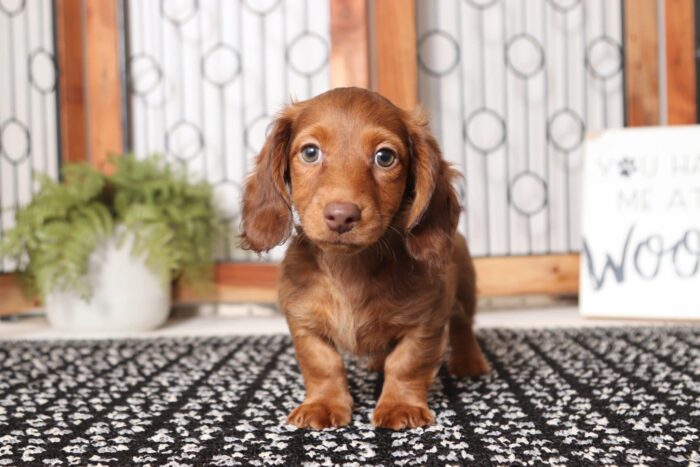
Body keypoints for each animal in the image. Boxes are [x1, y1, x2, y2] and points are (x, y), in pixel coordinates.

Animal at [243, 87, 490, 432]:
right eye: (310, 152)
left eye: (384, 157)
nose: (341, 215)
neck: (349, 270)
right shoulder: (302, 319)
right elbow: (323, 363)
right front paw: (323, 404)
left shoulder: (425, 319)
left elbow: (407, 362)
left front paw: (400, 406)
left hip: (465, 287)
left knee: (464, 324)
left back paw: (469, 361)